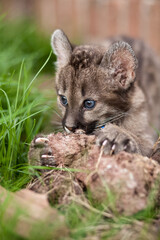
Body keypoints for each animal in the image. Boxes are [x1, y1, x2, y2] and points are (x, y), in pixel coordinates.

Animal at [50, 29, 160, 158]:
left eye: (89, 103)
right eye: (63, 99)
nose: (69, 127)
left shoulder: (149, 139)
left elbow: (142, 143)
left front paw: (118, 135)